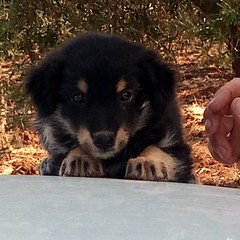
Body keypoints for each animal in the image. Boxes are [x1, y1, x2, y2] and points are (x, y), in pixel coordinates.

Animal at [26, 31, 195, 182]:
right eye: (78, 97)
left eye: (126, 95)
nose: (104, 140)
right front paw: (81, 157)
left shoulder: (177, 148)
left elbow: (158, 149)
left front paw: (148, 161)